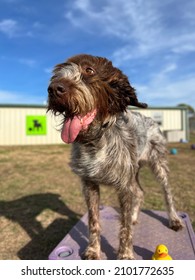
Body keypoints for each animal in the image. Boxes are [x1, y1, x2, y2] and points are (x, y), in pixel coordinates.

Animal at [47, 53, 183, 260]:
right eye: (57, 74)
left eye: (89, 70)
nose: (54, 89)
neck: (95, 140)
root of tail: (150, 119)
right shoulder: (90, 185)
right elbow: (94, 222)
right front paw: (93, 250)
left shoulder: (124, 187)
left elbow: (124, 228)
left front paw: (125, 254)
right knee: (139, 192)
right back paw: (134, 217)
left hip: (158, 164)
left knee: (166, 192)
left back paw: (173, 219)